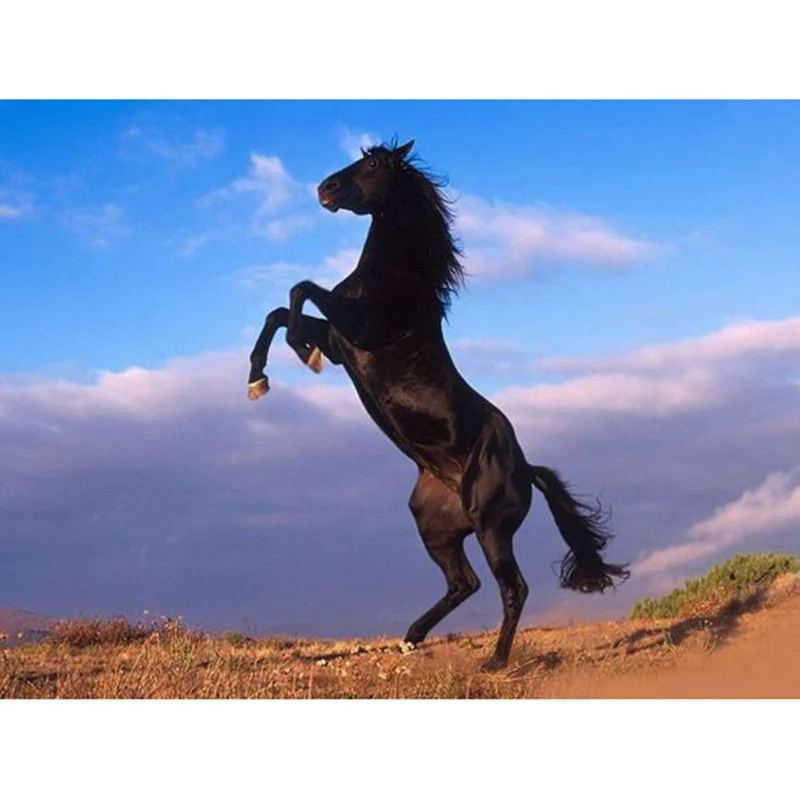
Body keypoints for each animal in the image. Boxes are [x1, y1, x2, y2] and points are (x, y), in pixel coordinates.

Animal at [247, 139, 630, 671]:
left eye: (372, 164)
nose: (325, 189)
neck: (395, 278)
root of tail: (527, 468)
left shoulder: (361, 328)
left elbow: (300, 291)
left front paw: (300, 355)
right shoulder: (344, 343)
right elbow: (279, 312)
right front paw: (258, 378)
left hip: (491, 528)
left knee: (513, 588)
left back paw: (495, 661)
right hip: (435, 527)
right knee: (463, 583)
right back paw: (411, 638)